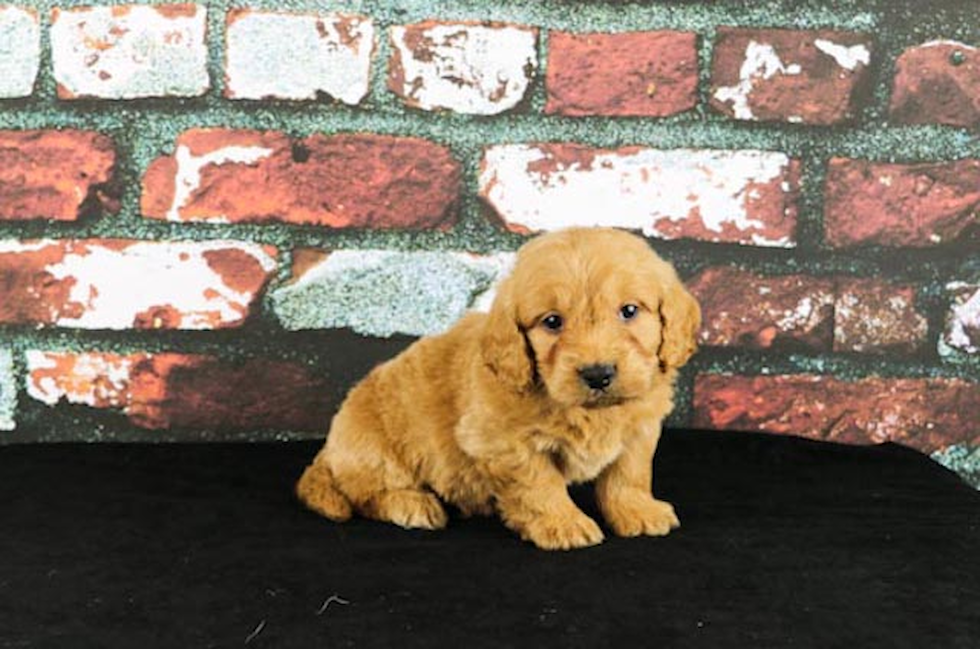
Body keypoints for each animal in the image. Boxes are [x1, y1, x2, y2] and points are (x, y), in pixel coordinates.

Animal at [294, 225, 700, 548]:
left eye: (629, 311)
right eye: (552, 322)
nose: (598, 374)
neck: (587, 411)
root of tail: (329, 450)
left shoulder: (640, 428)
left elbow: (629, 474)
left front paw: (639, 512)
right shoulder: (501, 441)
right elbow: (541, 484)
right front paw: (562, 524)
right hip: (374, 452)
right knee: (366, 493)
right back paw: (413, 504)